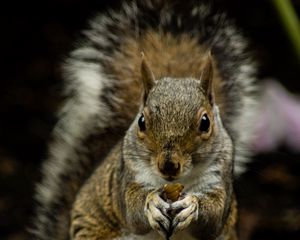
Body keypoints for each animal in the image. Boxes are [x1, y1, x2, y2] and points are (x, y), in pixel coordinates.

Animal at [32, 0, 258, 240]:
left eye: (205, 123)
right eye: (141, 121)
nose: (169, 165)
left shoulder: (219, 179)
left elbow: (213, 218)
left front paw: (192, 205)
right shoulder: (128, 175)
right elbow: (132, 211)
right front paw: (150, 203)